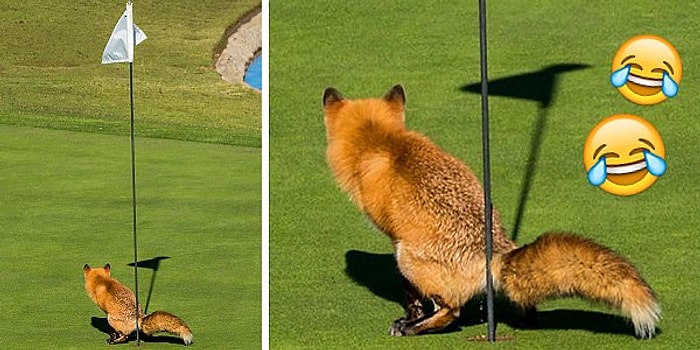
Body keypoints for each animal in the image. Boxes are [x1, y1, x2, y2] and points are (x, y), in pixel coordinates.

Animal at [322, 85, 660, 340]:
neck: (382, 141)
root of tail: (496, 254)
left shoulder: (396, 241)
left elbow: (410, 292)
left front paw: (410, 317)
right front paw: (411, 313)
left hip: (409, 258)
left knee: (451, 312)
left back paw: (415, 329)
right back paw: (526, 317)